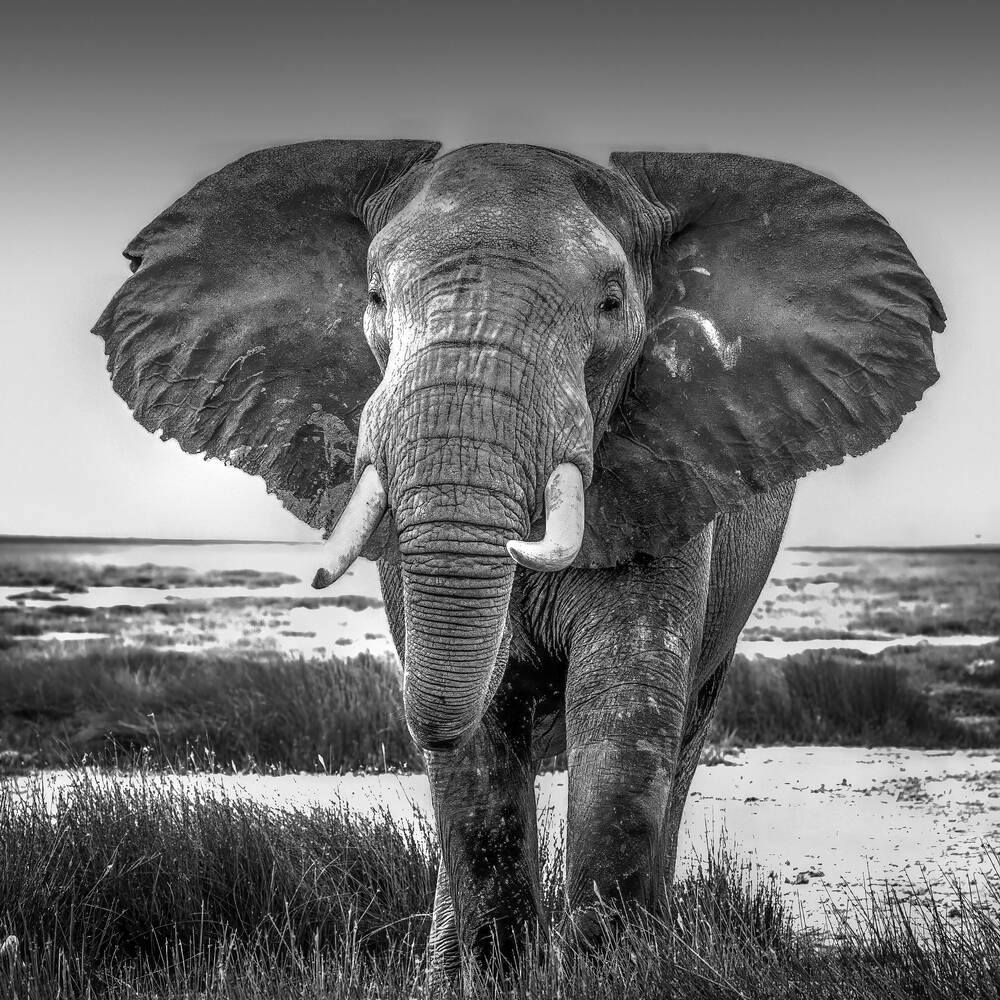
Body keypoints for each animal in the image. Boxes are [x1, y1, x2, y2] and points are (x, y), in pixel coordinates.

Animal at [92, 139, 944, 983]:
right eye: (374, 296)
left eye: (611, 304)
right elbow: (478, 756)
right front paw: (502, 973)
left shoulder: (667, 484)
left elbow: (624, 707)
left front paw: (619, 972)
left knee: (682, 739)